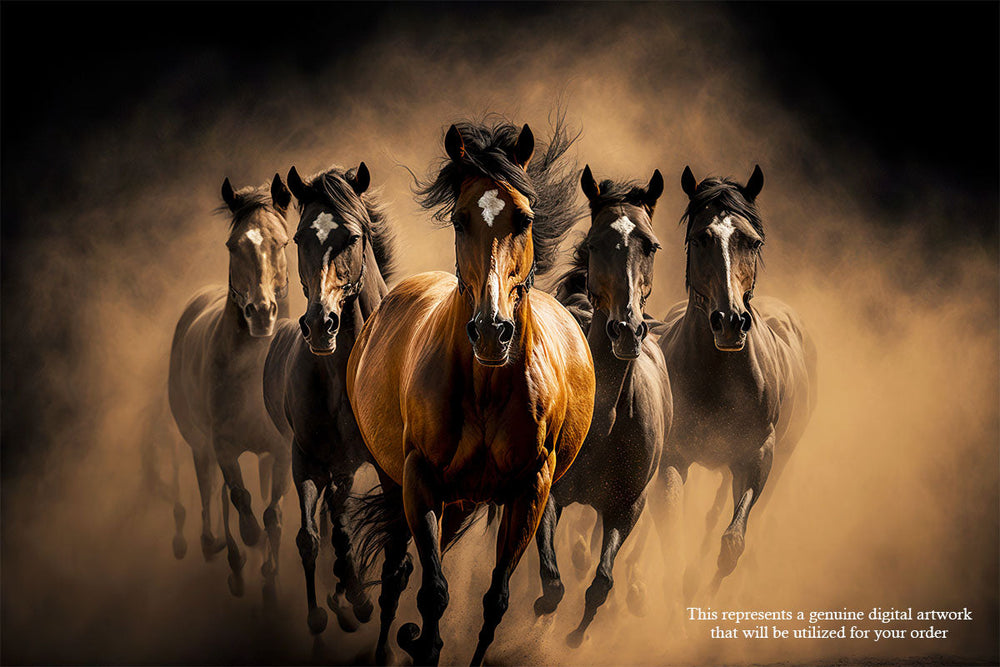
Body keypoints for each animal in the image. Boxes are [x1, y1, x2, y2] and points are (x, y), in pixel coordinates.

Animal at [168, 174, 293, 597]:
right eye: (232, 245)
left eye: (281, 242)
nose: (261, 313)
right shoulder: (223, 445)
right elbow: (239, 498)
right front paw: (243, 548)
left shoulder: (281, 449)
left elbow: (273, 512)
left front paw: (270, 576)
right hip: (198, 442)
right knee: (209, 487)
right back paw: (216, 548)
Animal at [262, 163, 395, 637]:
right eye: (300, 238)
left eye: (352, 237)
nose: (321, 324)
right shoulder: (308, 458)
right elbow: (311, 536)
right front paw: (322, 611)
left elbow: (345, 526)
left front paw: (358, 599)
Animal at [347, 117, 596, 666]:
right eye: (460, 220)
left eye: (524, 218)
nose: (490, 331)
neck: (484, 390)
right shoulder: (419, 480)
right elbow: (432, 592)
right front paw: (422, 644)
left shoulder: (529, 491)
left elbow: (495, 601)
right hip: (396, 481)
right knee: (395, 577)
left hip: (464, 500)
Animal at [532, 165, 673, 647]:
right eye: (594, 243)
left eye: (650, 245)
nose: (626, 330)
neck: (606, 421)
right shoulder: (550, 492)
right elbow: (552, 582)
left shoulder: (626, 509)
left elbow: (602, 582)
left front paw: (575, 638)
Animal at [654, 165, 817, 597]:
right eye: (700, 238)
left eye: (753, 241)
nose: (729, 322)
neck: (720, 375)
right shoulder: (674, 457)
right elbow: (672, 530)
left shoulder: (758, 456)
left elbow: (732, 542)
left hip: (782, 457)